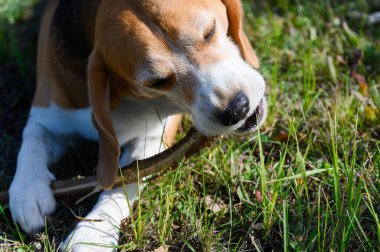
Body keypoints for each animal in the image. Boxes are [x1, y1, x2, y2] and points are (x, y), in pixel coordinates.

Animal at [7, 0, 266, 249]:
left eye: (209, 32)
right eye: (157, 82)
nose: (236, 108)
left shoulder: (152, 138)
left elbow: (120, 186)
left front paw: (91, 234)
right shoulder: (47, 114)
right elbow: (32, 139)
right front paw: (28, 191)